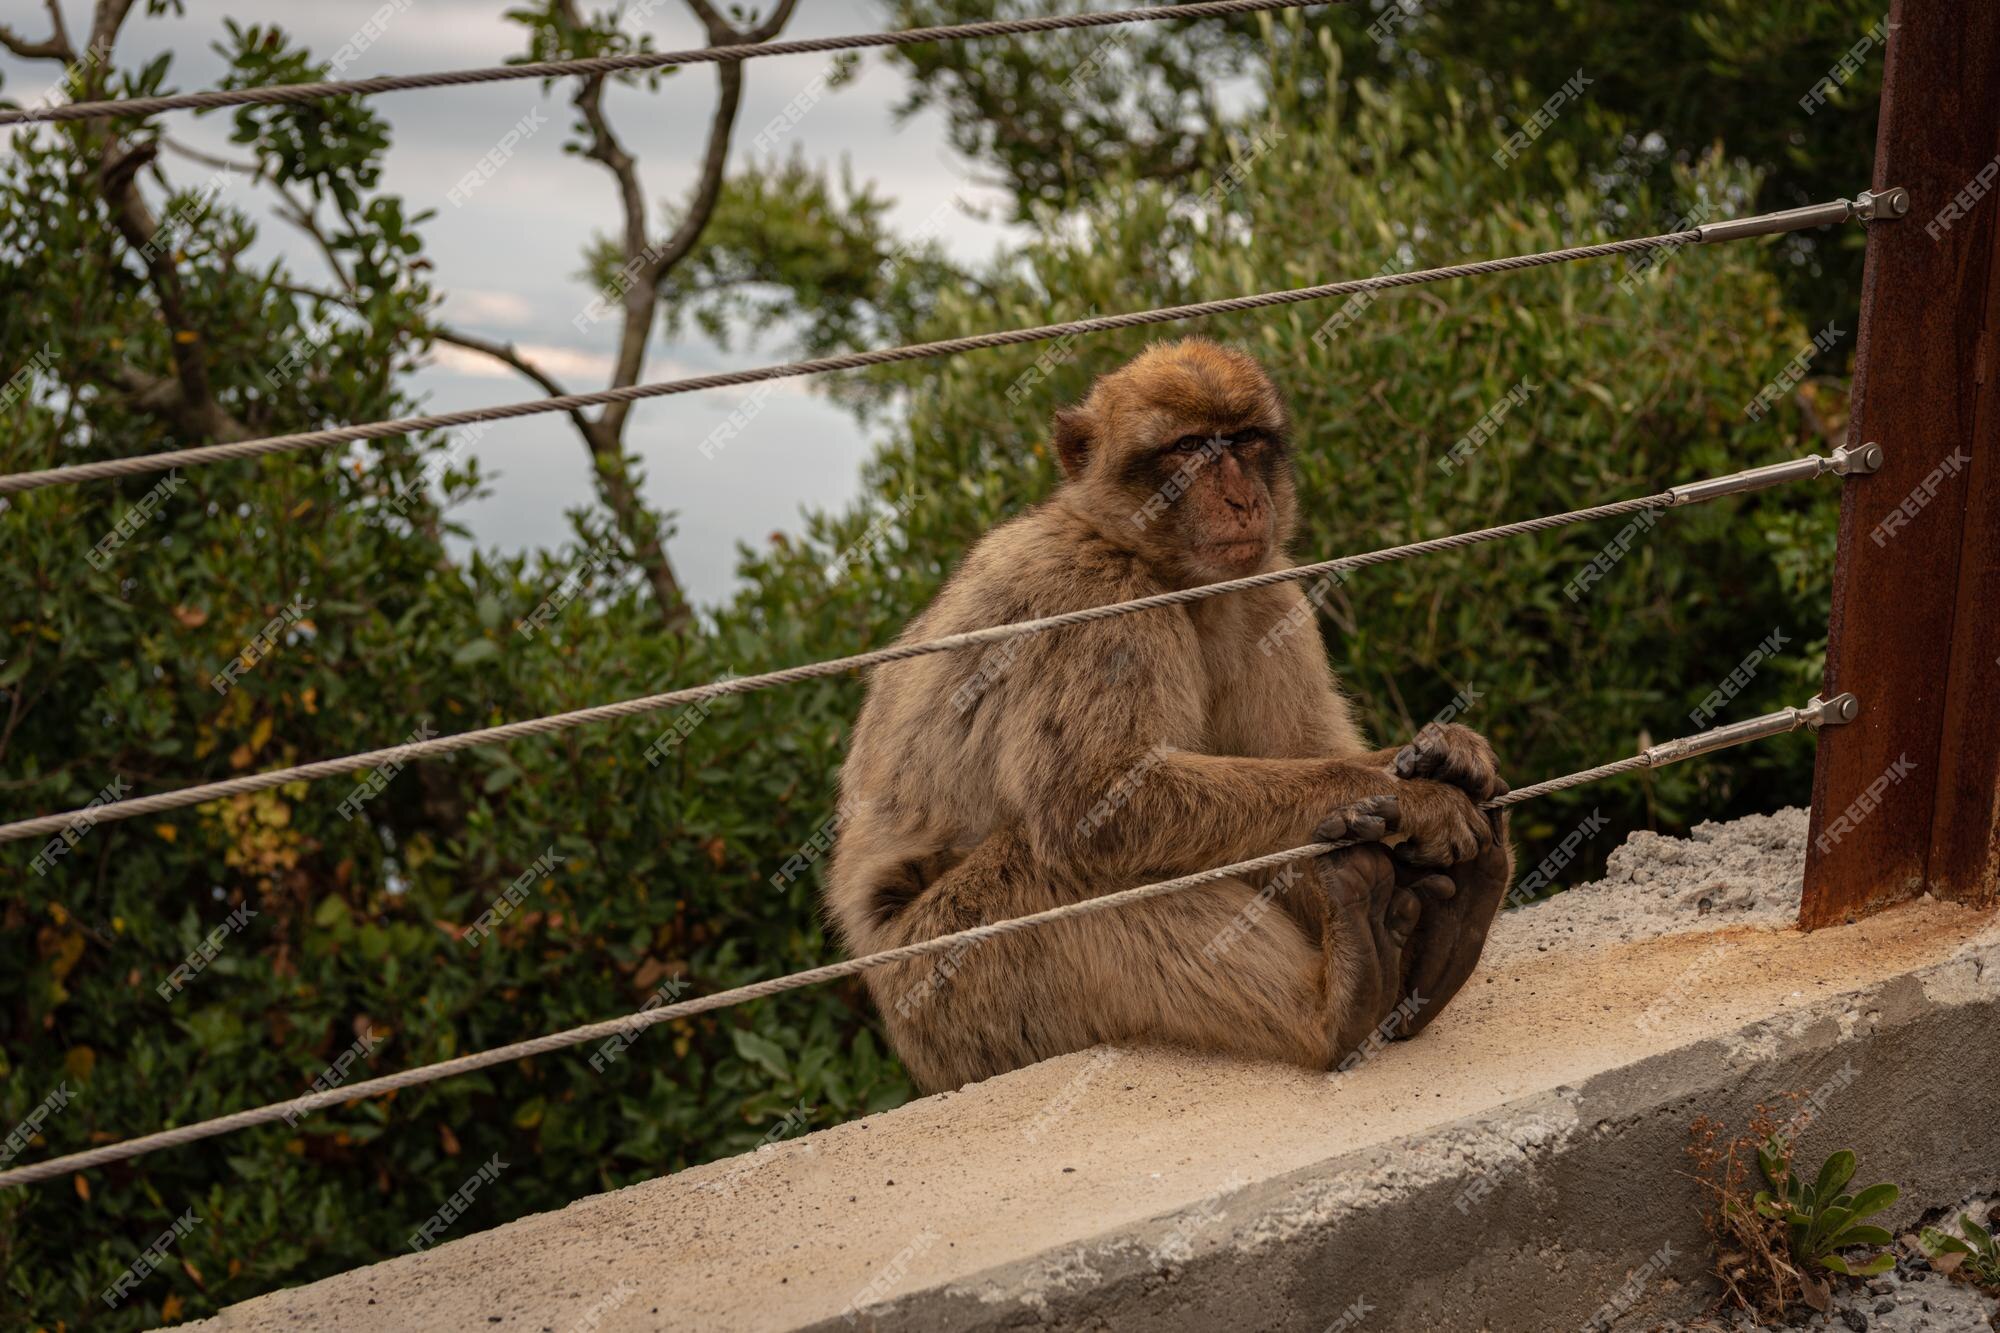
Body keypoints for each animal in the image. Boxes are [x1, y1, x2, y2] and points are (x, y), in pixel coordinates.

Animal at [820, 334, 1504, 1088]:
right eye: (1189, 448)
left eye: (1243, 439)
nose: (1241, 498)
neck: (1153, 565)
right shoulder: (1095, 601)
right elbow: (1095, 800)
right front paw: (1417, 798)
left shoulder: (1265, 592)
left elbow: (1298, 746)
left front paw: (1439, 754)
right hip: (946, 995)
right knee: (1058, 868)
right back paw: (1335, 1008)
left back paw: (1435, 941)